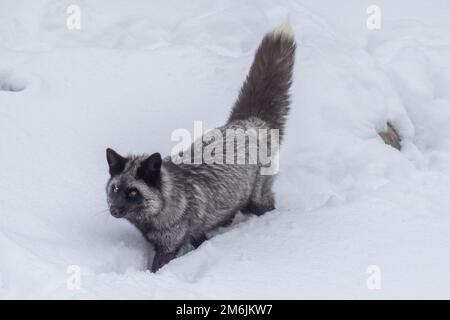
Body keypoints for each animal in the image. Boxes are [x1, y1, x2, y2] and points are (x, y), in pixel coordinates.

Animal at [105, 20, 296, 272]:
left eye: (133, 192)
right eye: (115, 189)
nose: (114, 210)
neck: (171, 200)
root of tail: (250, 122)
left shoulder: (169, 246)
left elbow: (157, 268)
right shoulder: (194, 234)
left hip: (257, 201)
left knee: (268, 205)